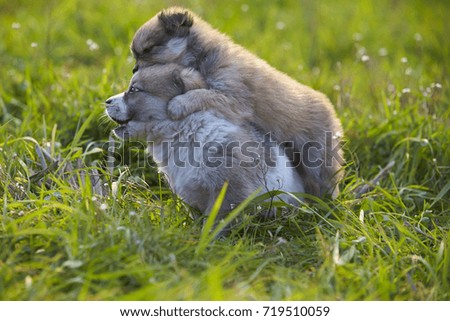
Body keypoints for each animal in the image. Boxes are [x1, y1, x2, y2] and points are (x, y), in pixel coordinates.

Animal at [130, 6, 344, 198]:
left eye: (148, 49)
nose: (134, 69)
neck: (203, 55)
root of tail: (329, 108)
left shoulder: (231, 96)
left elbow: (202, 94)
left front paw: (178, 103)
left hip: (317, 159)